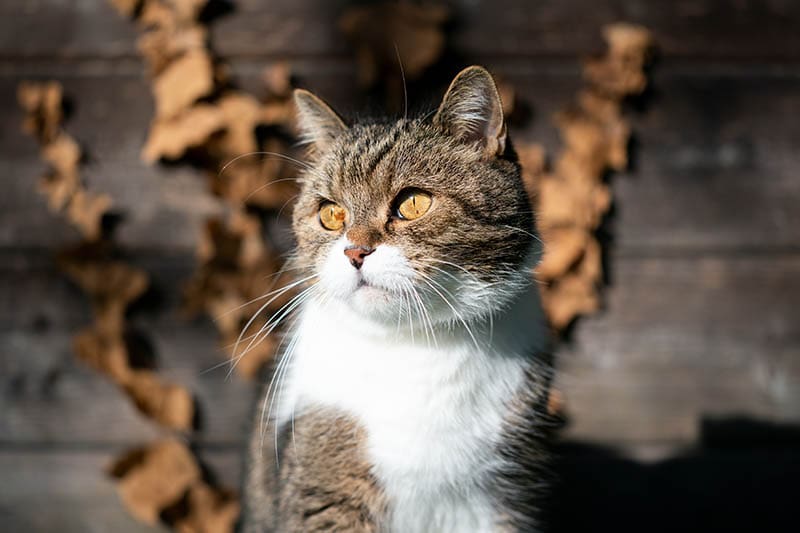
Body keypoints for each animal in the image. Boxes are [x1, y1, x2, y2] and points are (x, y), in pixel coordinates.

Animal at [241, 66, 552, 532]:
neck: (412, 345)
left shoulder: (500, 497)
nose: (355, 251)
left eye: (413, 203)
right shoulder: (326, 488)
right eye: (331, 213)